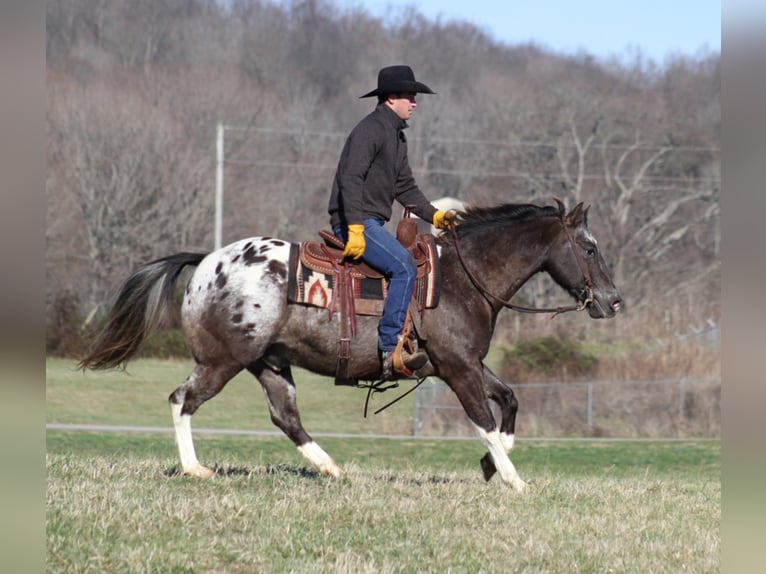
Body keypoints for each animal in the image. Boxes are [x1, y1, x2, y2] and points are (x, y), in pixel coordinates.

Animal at [81, 200, 628, 492]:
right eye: (589, 248)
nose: (613, 301)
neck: (462, 277)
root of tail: (208, 261)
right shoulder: (458, 368)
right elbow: (485, 421)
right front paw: (512, 477)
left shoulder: (465, 363)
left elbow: (509, 401)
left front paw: (494, 465)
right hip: (223, 360)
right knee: (183, 400)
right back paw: (196, 468)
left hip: (269, 364)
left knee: (286, 417)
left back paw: (332, 468)